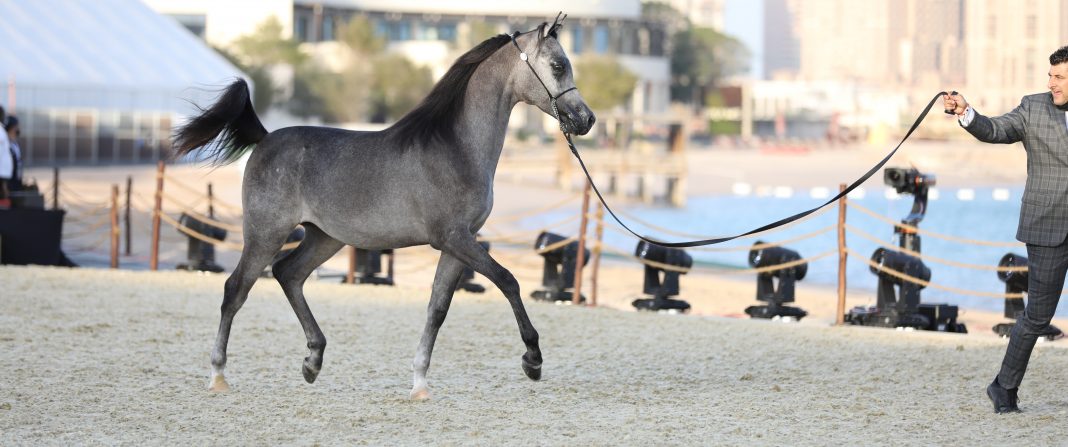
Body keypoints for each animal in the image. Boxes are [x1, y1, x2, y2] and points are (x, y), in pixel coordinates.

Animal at [170, 21, 598, 401]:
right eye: (557, 65)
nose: (586, 119)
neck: (456, 146)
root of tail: (264, 138)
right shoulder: (455, 239)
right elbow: (508, 281)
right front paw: (533, 360)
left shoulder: (458, 244)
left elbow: (437, 309)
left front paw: (420, 384)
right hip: (265, 233)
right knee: (236, 289)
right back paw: (219, 375)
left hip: (324, 238)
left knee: (288, 274)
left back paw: (313, 361)